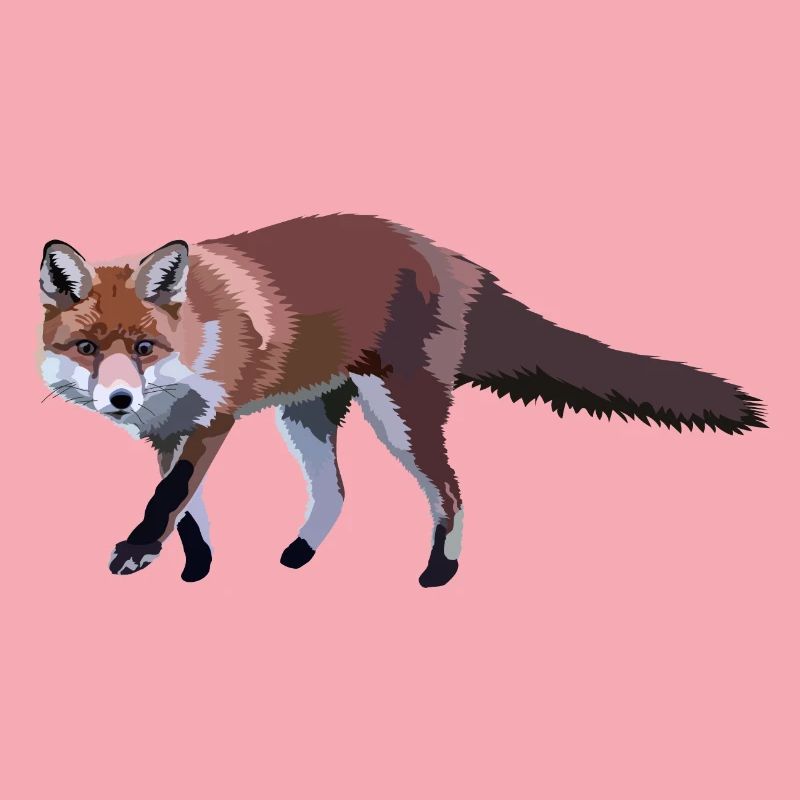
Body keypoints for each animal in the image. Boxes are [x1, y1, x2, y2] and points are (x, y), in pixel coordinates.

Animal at [39, 214, 767, 587]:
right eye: (87, 349)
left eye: (143, 346)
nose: (120, 399)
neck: (195, 336)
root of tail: (447, 253)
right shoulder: (167, 434)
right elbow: (187, 510)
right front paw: (194, 565)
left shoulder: (211, 422)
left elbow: (170, 498)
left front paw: (140, 550)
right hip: (306, 415)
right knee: (336, 492)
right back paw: (301, 555)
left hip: (399, 415)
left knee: (450, 490)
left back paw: (440, 571)